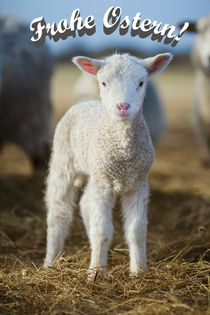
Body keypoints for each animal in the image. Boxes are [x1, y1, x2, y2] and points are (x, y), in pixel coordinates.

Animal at [44, 52, 172, 278]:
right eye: (103, 83)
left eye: (141, 83)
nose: (123, 106)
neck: (123, 154)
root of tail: (87, 102)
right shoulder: (103, 183)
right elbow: (102, 231)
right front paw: (95, 274)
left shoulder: (138, 184)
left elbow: (137, 231)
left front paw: (139, 272)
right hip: (63, 161)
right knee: (59, 212)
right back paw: (51, 261)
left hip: (95, 174)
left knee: (85, 203)